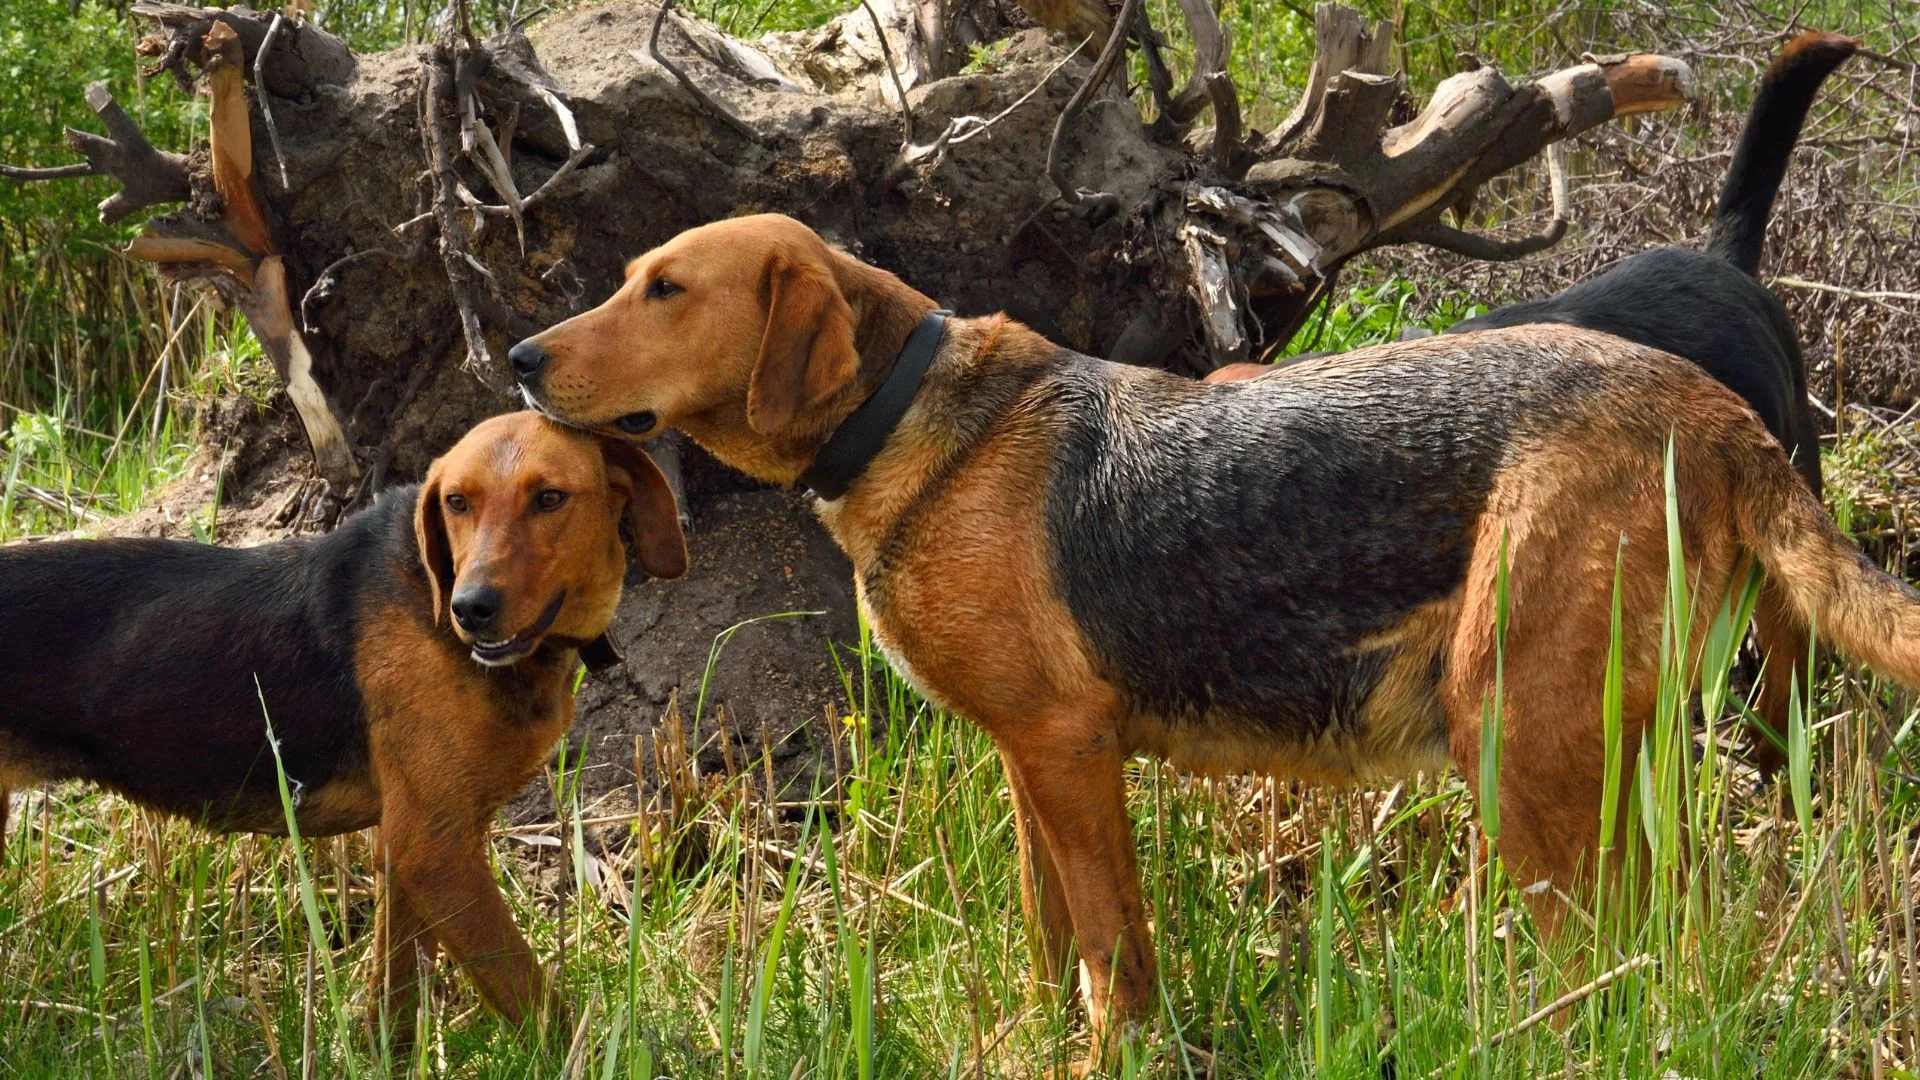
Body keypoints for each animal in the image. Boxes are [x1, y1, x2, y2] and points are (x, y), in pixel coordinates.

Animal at [0, 409, 691, 1045]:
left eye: (550, 498)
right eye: (457, 502)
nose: (470, 609)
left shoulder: (411, 846)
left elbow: (397, 989)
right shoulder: (434, 850)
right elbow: (530, 994)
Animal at [506, 212, 1920, 1068]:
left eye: (665, 290)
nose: (518, 359)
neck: (906, 417)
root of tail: (1715, 411)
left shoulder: (1071, 755)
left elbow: (1113, 958)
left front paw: (1109, 1057)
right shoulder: (1029, 765)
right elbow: (1054, 947)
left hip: (1518, 742)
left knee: (1616, 956)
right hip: (1616, 753)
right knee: (1681, 936)